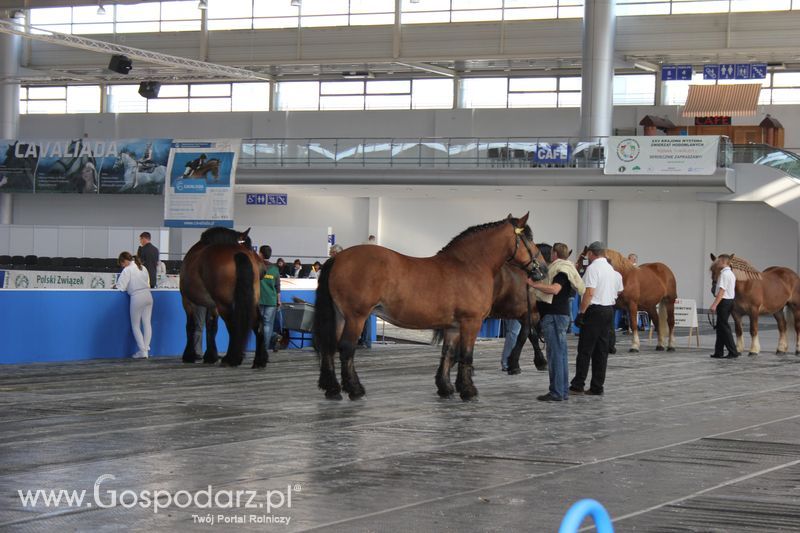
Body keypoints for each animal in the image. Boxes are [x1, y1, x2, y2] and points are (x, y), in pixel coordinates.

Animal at [180, 227, 268, 368]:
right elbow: (212, 326)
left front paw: (189, 355)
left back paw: (231, 358)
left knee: (233, 326)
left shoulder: (187, 301)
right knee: (258, 324)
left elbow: (190, 326)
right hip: (252, 301)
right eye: (249, 247)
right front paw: (211, 356)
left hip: (224, 304)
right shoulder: (212, 305)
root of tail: (237, 253)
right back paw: (259, 360)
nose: (264, 270)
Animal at [312, 212, 552, 400]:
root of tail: (338, 258)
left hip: (340, 316)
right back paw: (355, 389)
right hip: (356, 317)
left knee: (329, 346)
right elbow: (466, 355)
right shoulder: (471, 322)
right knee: (346, 348)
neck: (469, 265)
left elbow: (448, 353)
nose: (542, 268)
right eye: (529, 238)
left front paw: (446, 387)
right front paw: (468, 390)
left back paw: (332, 389)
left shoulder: (453, 326)